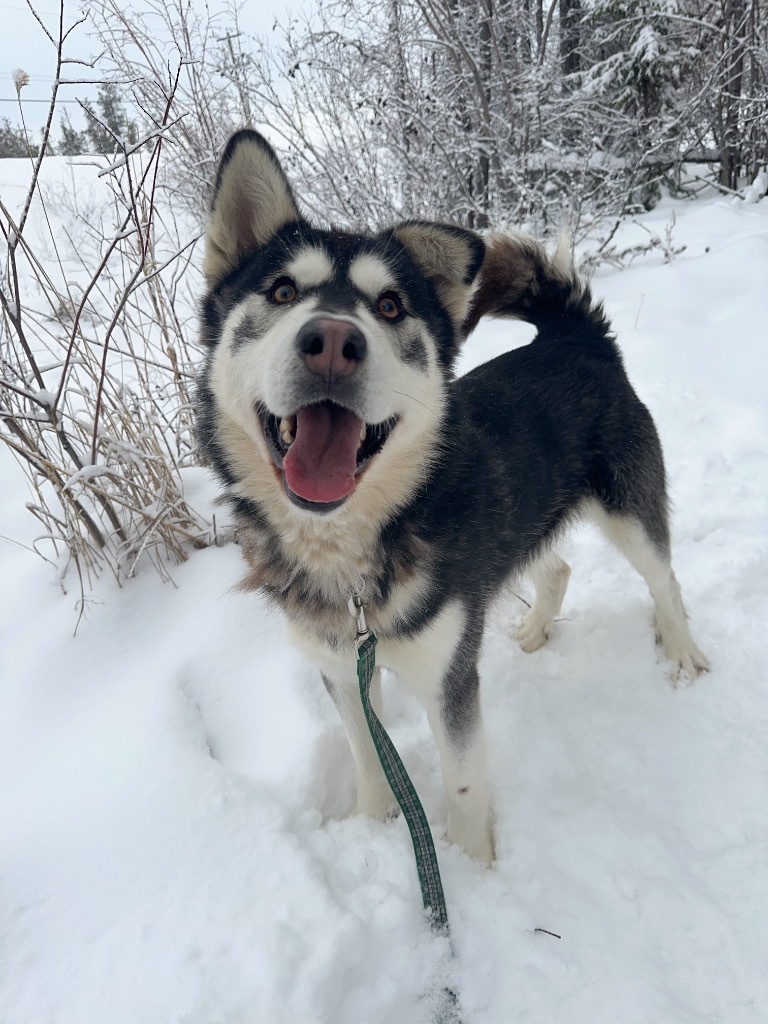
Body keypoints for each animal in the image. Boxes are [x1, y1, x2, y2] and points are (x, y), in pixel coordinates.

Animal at [198, 130, 708, 864]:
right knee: (557, 566)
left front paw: (473, 868)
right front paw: (375, 824)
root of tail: (577, 339)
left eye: (389, 306)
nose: (332, 342)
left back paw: (683, 650)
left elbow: (464, 782)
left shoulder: (449, 679)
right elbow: (366, 754)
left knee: (664, 579)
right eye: (283, 289)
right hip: (520, 522)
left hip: (629, 513)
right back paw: (533, 629)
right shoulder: (341, 668)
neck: (353, 558)